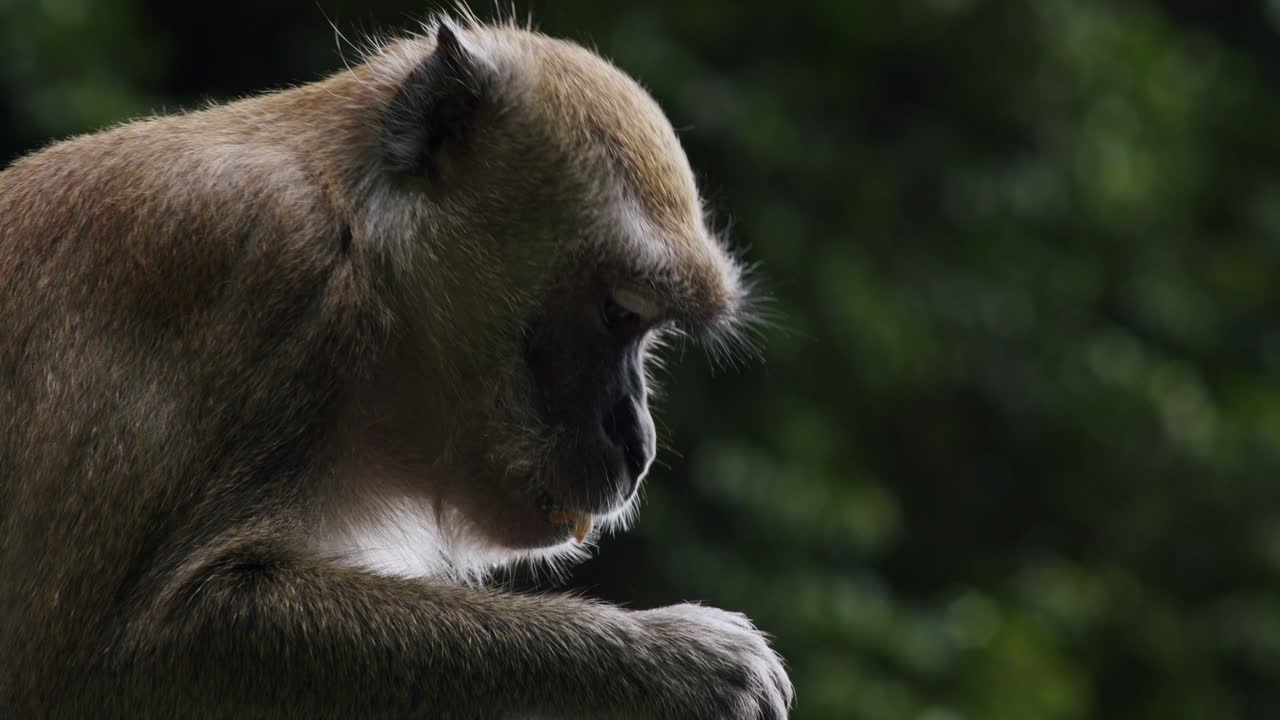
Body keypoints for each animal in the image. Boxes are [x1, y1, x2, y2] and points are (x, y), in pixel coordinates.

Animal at [0, 14, 792, 720]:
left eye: (644, 324)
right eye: (617, 313)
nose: (638, 443)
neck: (359, 246)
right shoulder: (267, 278)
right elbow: (121, 652)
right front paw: (670, 659)